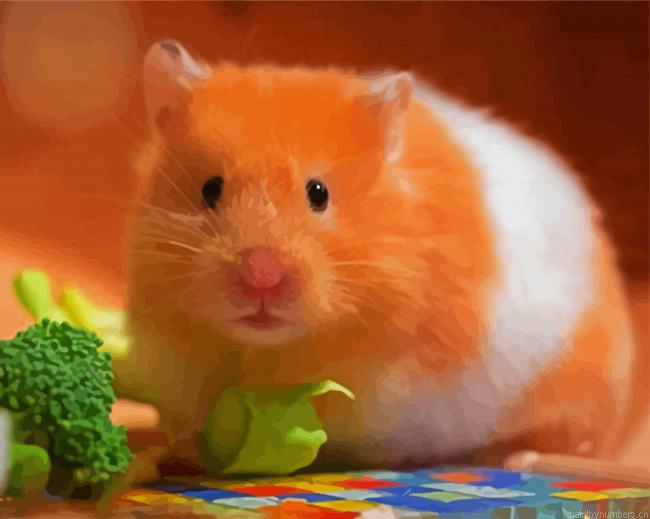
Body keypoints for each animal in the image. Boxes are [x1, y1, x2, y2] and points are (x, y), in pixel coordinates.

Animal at [119, 39, 644, 470]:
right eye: (210, 189)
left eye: (318, 193)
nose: (260, 279)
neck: (266, 349)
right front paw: (183, 451)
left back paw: (516, 457)